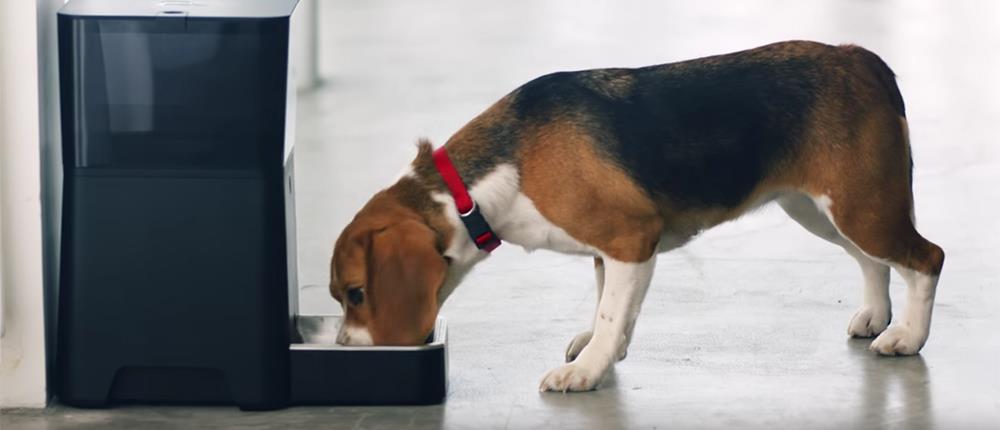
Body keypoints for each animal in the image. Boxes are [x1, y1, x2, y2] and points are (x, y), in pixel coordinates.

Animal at [330, 41, 944, 394]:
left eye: (357, 294)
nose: (345, 350)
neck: (485, 179)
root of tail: (860, 58)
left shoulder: (630, 238)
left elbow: (609, 314)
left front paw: (587, 370)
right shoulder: (609, 251)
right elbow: (610, 306)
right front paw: (607, 351)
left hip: (860, 207)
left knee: (926, 258)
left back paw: (907, 337)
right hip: (824, 210)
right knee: (873, 261)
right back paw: (877, 317)